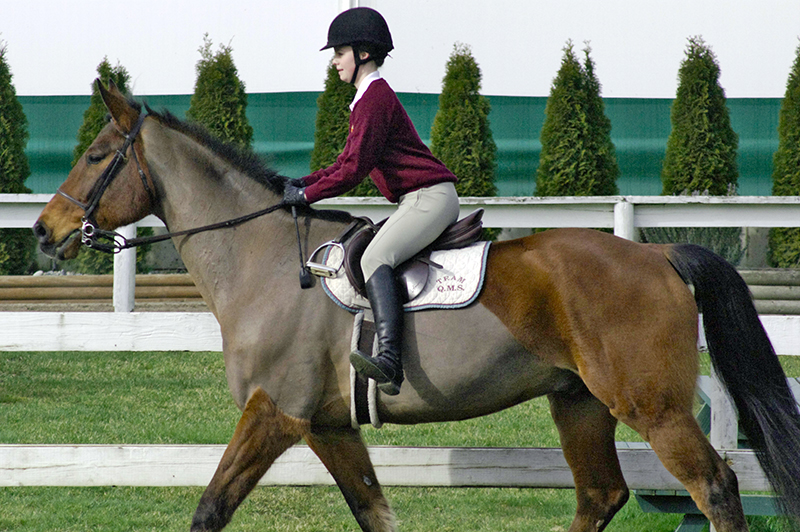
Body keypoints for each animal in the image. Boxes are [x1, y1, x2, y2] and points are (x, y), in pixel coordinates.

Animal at [33, 80, 800, 532]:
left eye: (97, 155)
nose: (44, 231)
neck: (263, 260)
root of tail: (658, 253)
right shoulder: (327, 423)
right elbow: (375, 512)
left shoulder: (275, 410)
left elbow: (210, 508)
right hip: (578, 400)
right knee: (601, 496)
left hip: (651, 406)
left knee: (715, 486)